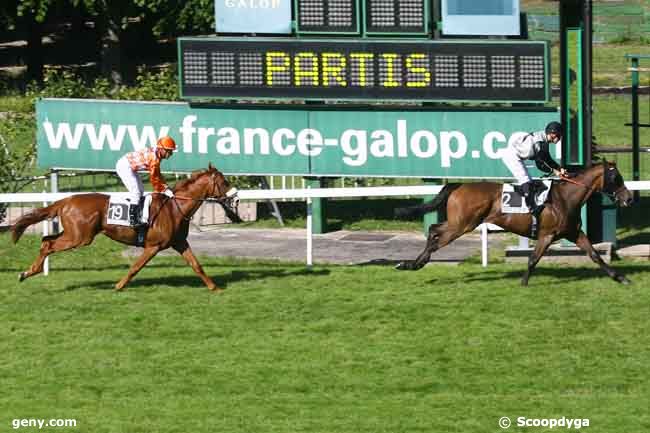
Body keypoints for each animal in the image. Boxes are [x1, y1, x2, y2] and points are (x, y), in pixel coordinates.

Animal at [10, 164, 239, 292]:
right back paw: (28, 273)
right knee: (48, 245)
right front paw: (119, 286)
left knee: (46, 240)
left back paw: (30, 271)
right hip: (80, 237)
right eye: (224, 182)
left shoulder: (180, 242)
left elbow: (196, 265)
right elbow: (135, 267)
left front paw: (214, 287)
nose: (236, 196)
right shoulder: (153, 246)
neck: (175, 208)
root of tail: (66, 200)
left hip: (74, 234)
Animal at [392, 160, 632, 286]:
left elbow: (595, 255)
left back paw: (413, 263)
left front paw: (620, 277)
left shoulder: (573, 233)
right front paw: (524, 283)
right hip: (461, 225)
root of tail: (459, 185)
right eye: (615, 178)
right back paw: (411, 264)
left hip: (460, 224)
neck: (565, 198)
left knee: (434, 230)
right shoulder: (547, 235)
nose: (629, 198)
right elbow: (533, 259)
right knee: (435, 234)